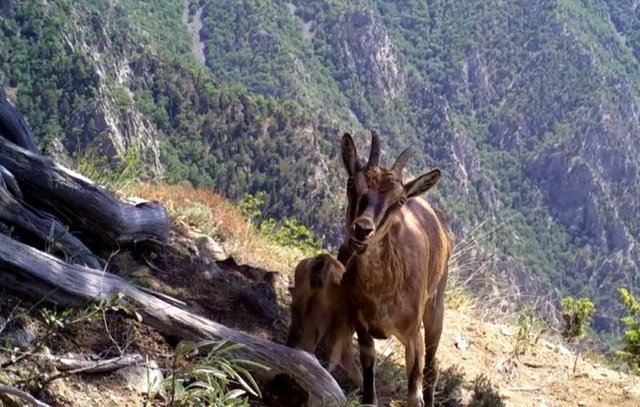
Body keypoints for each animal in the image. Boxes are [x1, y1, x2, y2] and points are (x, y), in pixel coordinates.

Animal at [340, 131, 456, 407]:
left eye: (399, 200)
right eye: (352, 184)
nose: (363, 229)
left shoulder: (413, 336)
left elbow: (414, 393)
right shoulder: (360, 321)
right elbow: (368, 366)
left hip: (435, 307)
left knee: (432, 370)